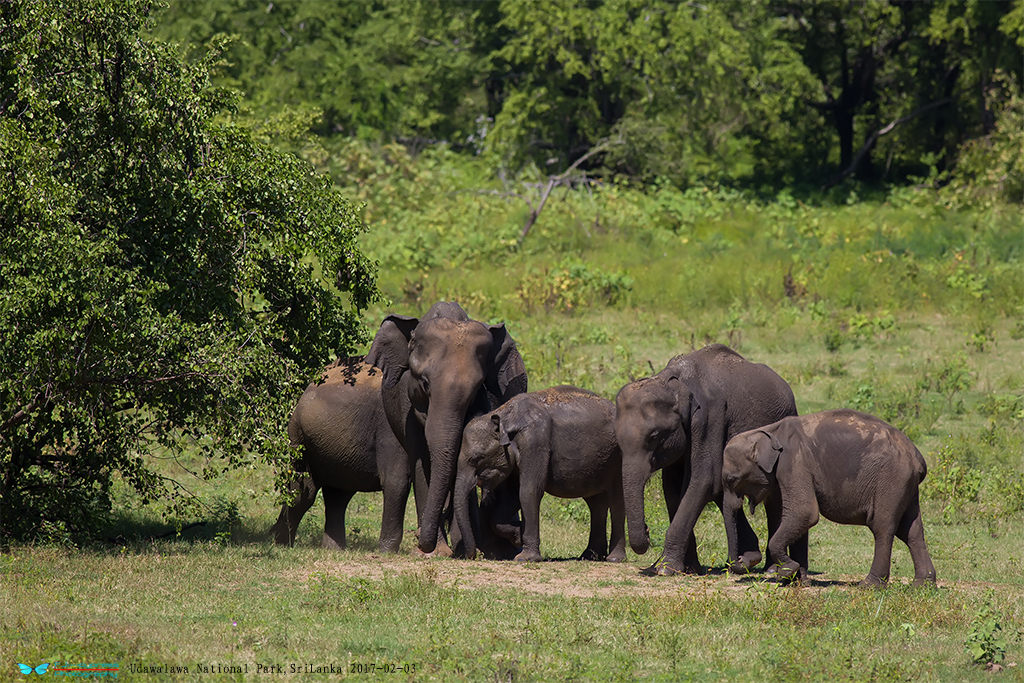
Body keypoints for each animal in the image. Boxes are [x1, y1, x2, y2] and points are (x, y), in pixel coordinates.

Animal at [366, 301, 528, 557]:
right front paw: (434, 552)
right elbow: (422, 460)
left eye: (477, 388)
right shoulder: (407, 406)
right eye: (424, 383)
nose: (420, 540)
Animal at [454, 387, 622, 565]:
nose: (473, 555)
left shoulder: (535, 442)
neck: (504, 414)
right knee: (596, 502)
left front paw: (525, 558)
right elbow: (512, 496)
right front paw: (518, 534)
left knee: (612, 499)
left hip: (618, 457)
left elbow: (528, 491)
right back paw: (591, 556)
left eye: (476, 458)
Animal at [606, 344, 798, 573]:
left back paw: (769, 569)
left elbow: (703, 479)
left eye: (654, 436)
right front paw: (685, 568)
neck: (673, 381)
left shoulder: (709, 418)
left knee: (772, 498)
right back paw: (749, 558)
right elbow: (672, 488)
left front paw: (665, 569)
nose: (647, 530)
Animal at [720, 409, 937, 589]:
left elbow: (804, 513)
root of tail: (919, 459)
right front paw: (797, 582)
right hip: (907, 486)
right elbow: (799, 520)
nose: (743, 559)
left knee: (883, 528)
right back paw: (922, 585)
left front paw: (787, 572)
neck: (769, 431)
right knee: (912, 531)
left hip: (892, 481)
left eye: (731, 480)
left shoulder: (793, 463)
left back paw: (869, 585)